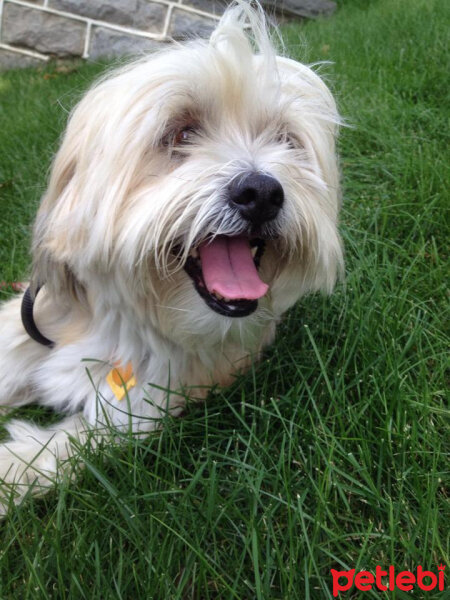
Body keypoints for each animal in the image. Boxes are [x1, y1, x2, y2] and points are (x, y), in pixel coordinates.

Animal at [0, 0, 342, 512]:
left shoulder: (146, 402)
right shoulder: (31, 320)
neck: (121, 327)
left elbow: (59, 448)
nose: (262, 192)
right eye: (181, 133)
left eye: (285, 140)